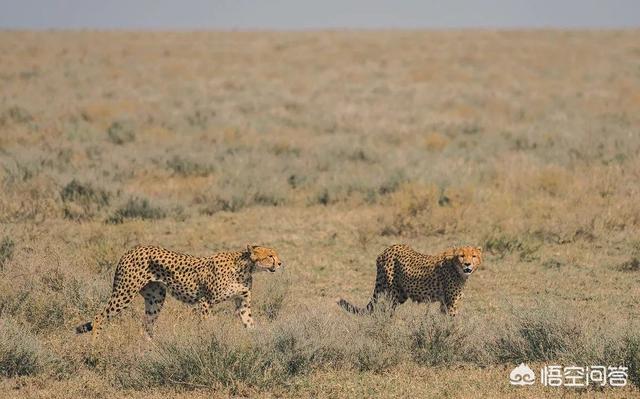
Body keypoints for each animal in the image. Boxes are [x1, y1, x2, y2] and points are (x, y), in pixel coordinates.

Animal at [75, 244, 282, 338]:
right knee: (99, 317)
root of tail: (131, 250)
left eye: (276, 255)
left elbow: (250, 324)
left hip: (156, 298)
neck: (245, 267)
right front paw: (209, 343)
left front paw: (258, 342)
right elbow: (205, 327)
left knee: (146, 325)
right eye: (270, 256)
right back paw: (96, 348)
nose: (281, 263)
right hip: (124, 293)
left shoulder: (242, 303)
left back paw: (152, 350)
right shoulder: (205, 302)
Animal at [340, 245, 480, 318]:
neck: (457, 268)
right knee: (387, 311)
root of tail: (388, 249)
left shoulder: (445, 302)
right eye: (462, 256)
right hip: (394, 292)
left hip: (401, 294)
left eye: (474, 256)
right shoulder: (451, 302)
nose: (467, 264)